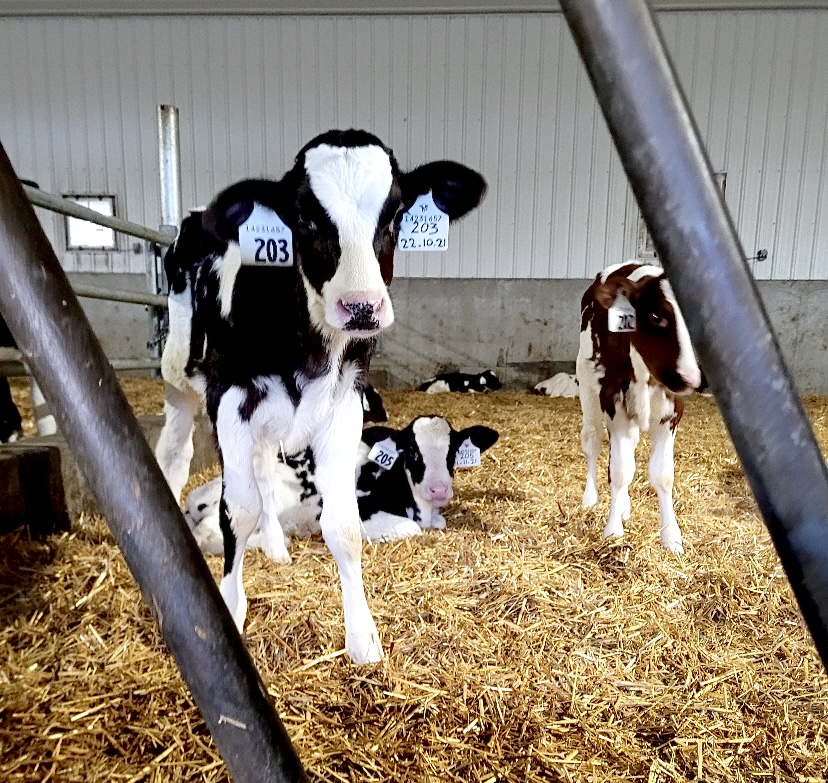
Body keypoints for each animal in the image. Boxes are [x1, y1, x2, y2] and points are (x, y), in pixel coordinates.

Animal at [576, 262, 701, 553]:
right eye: (655, 315)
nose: (691, 378)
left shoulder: (672, 413)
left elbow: (663, 475)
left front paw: (671, 537)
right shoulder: (613, 403)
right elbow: (621, 471)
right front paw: (612, 532)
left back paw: (623, 507)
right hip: (586, 385)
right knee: (592, 441)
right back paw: (590, 499)